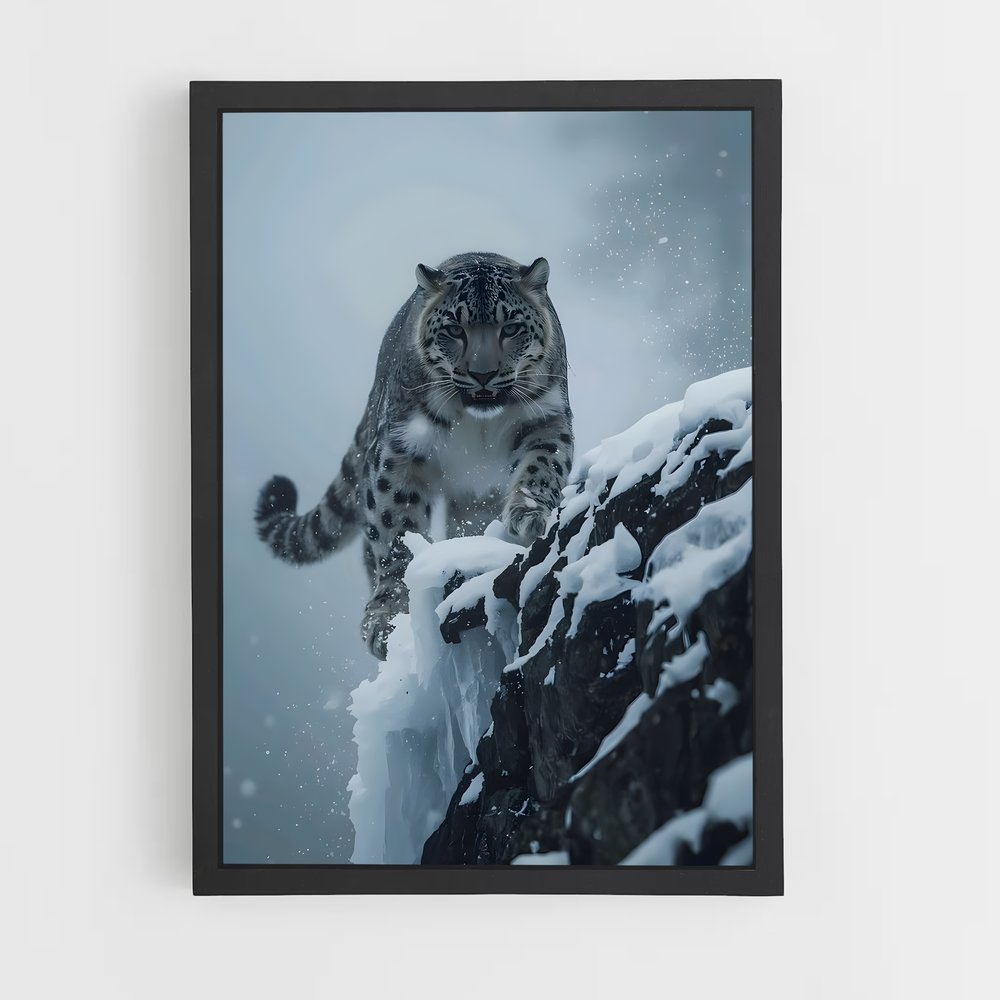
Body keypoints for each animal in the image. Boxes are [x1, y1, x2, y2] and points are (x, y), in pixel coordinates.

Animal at [255, 251, 573, 660]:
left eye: (512, 327)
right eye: (454, 329)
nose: (483, 374)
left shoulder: (545, 419)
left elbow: (542, 465)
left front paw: (527, 515)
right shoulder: (400, 450)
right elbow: (396, 535)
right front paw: (387, 620)